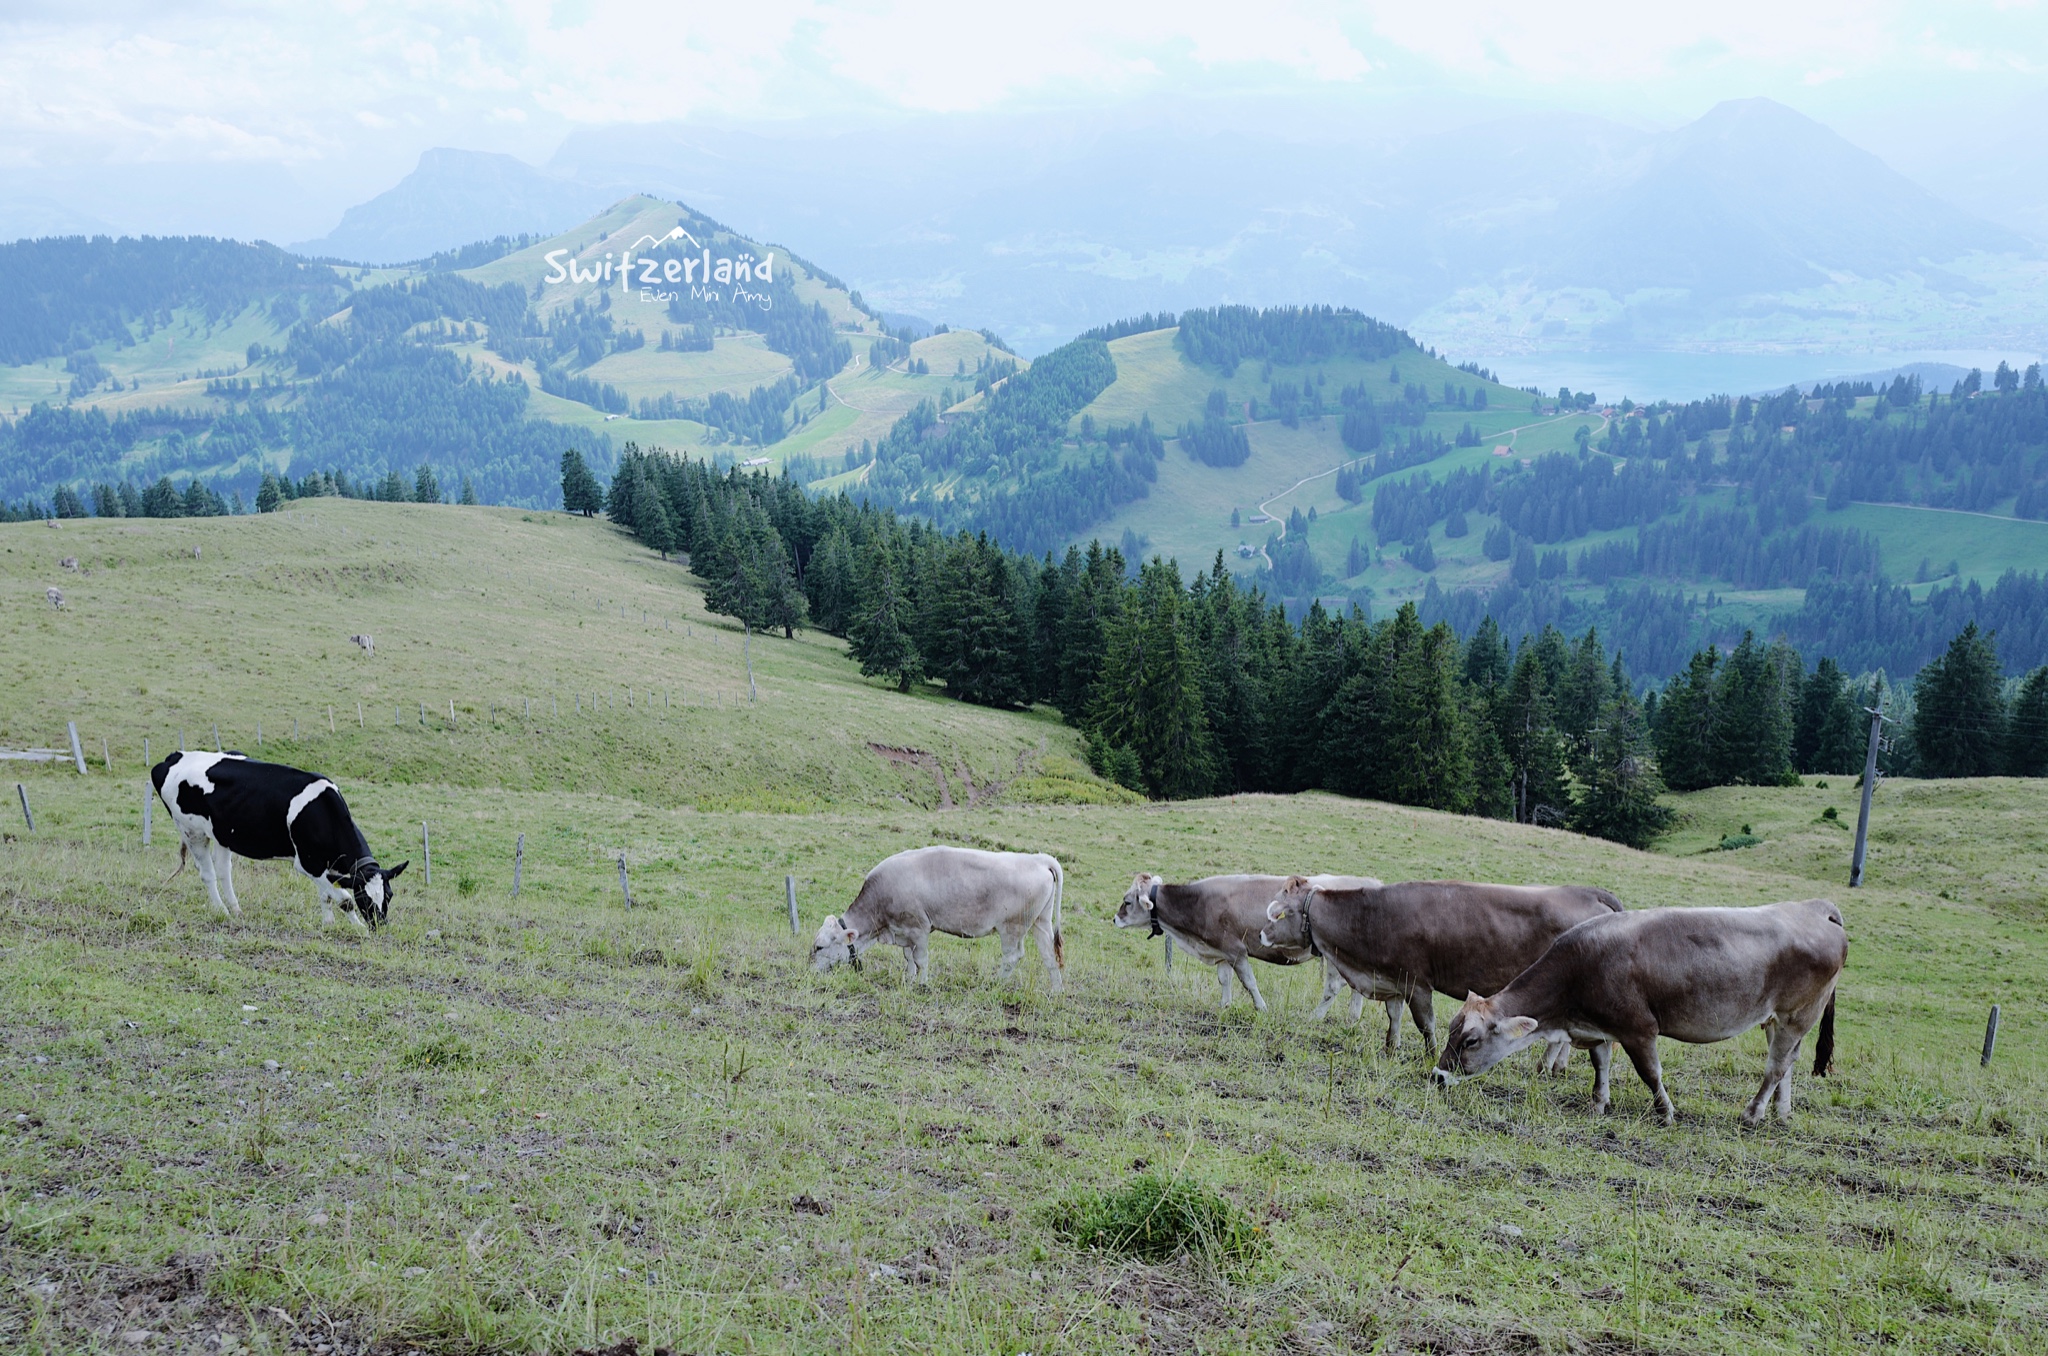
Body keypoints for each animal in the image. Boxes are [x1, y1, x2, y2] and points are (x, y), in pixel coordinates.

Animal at [152, 753, 407, 934]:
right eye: (364, 898)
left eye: (389, 894)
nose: (380, 925)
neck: (324, 811)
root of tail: (173, 757)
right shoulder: (307, 863)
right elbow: (344, 900)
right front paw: (358, 927)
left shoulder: (325, 864)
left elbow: (326, 895)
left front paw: (328, 923)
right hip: (193, 832)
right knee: (207, 874)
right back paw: (222, 911)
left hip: (222, 835)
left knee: (224, 871)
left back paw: (236, 910)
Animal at [806, 843, 1064, 995]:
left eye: (819, 947)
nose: (809, 971)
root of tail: (1039, 859)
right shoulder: (904, 931)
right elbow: (908, 958)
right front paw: (909, 980)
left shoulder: (918, 927)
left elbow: (921, 959)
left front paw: (922, 984)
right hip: (1041, 922)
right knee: (1049, 955)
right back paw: (1056, 991)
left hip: (1011, 927)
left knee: (1012, 957)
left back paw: (995, 985)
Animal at [1114, 876, 1384, 1015]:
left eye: (1127, 902)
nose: (1115, 919)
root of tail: (1372, 882)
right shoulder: (1221, 951)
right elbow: (1224, 979)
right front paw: (1224, 1005)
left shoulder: (1235, 949)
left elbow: (1248, 981)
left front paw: (1261, 1008)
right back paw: (1352, 1019)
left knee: (1333, 987)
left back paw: (1314, 1018)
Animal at [1253, 880, 1622, 1065]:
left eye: (1282, 913)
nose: (1261, 934)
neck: (1374, 915)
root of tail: (1588, 892)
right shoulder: (1394, 979)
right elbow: (1394, 1016)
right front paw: (1391, 1049)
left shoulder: (1418, 982)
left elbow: (1425, 1023)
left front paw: (1429, 1054)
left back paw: (1547, 1065)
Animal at [1433, 901, 1851, 1122]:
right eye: (1451, 1030)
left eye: (1470, 1040)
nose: (1437, 1076)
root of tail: (1815, 908)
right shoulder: (1599, 1026)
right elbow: (1600, 1063)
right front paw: (1598, 1102)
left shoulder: (1638, 1028)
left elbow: (1650, 1073)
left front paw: (1665, 1111)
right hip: (1776, 1019)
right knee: (1788, 1062)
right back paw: (1780, 1112)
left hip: (1798, 1014)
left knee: (1776, 1066)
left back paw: (1751, 1113)